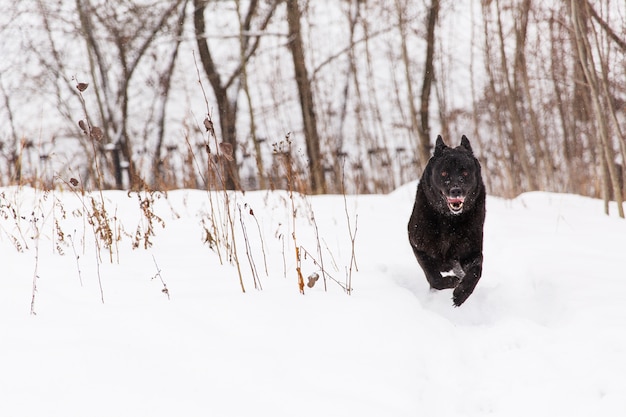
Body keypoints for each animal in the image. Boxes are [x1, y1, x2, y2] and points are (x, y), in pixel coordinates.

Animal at [408, 136, 486, 306]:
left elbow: (475, 272)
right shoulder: (419, 248)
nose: (456, 190)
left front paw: (461, 293)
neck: (448, 221)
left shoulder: (471, 252)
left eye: (465, 172)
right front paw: (452, 281)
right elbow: (434, 278)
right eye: (444, 173)